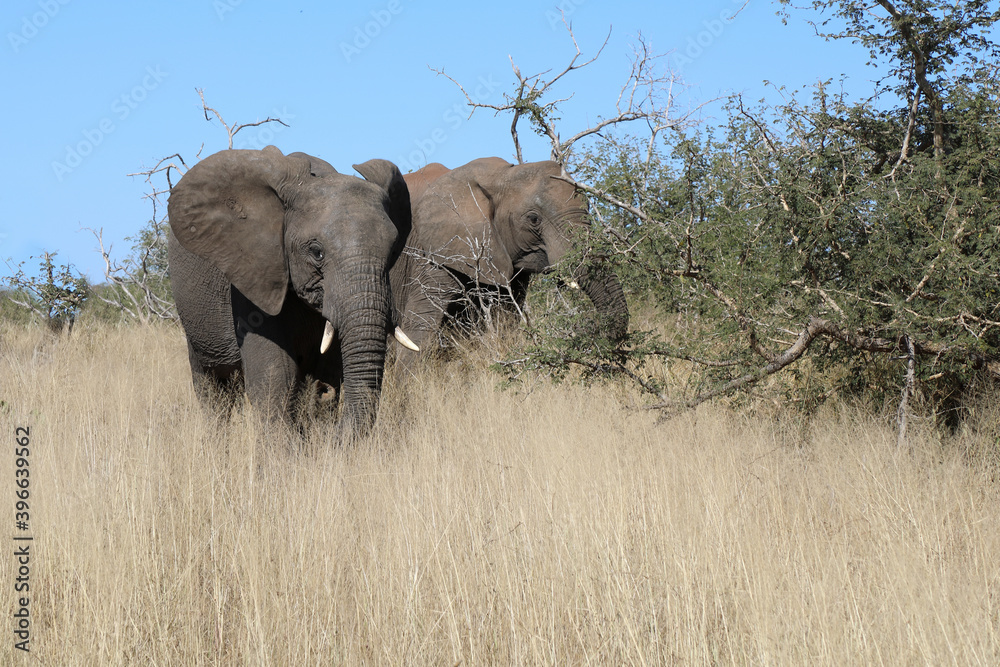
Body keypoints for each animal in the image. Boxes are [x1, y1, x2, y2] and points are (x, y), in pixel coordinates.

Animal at [166, 146, 416, 438]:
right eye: (317, 252)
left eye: (392, 251)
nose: (336, 437)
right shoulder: (253, 275)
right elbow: (275, 374)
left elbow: (328, 368)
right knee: (212, 389)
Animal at [394, 157, 628, 376]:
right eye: (534, 219)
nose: (585, 324)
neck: (501, 177)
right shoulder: (435, 250)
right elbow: (420, 325)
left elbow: (505, 321)